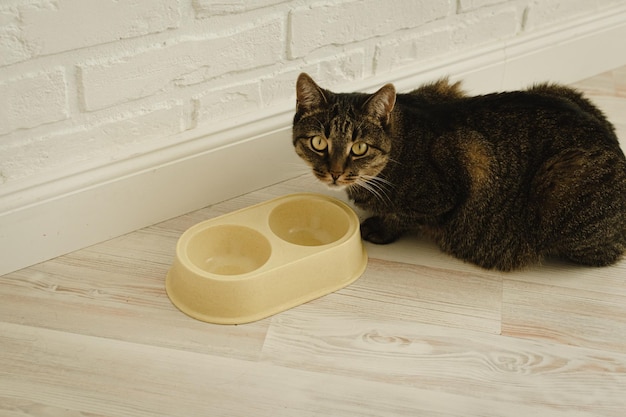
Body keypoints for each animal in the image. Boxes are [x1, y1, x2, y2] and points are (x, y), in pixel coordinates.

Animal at [292, 72, 624, 272]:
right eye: (319, 142)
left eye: (359, 148)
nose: (334, 173)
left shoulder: (454, 182)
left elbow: (403, 215)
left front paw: (381, 227)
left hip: (560, 187)